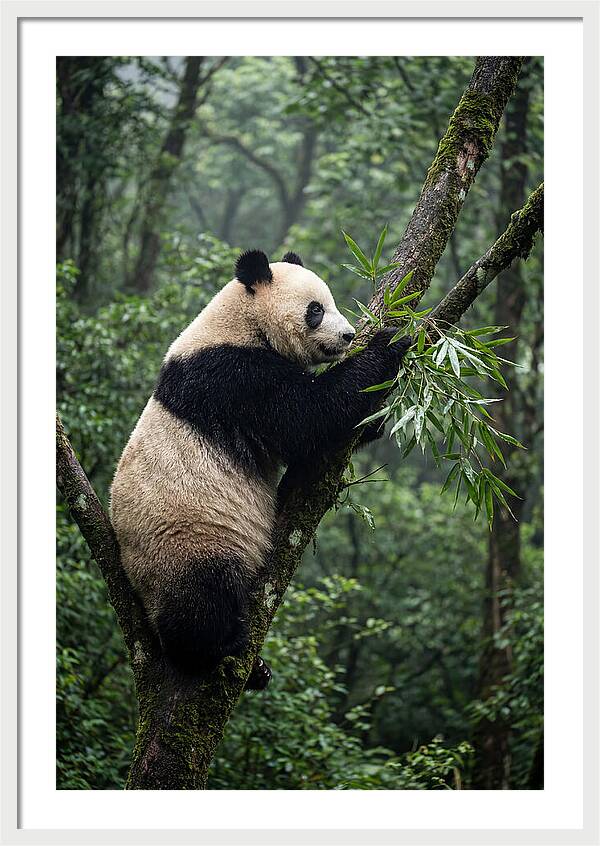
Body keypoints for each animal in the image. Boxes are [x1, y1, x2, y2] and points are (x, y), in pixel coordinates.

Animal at [110, 249, 410, 690]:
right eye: (316, 310)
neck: (241, 322)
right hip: (186, 539)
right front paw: (390, 342)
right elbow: (308, 417)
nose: (348, 336)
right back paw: (219, 647)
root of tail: (137, 587)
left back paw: (257, 669)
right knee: (202, 598)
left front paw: (375, 419)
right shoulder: (232, 377)